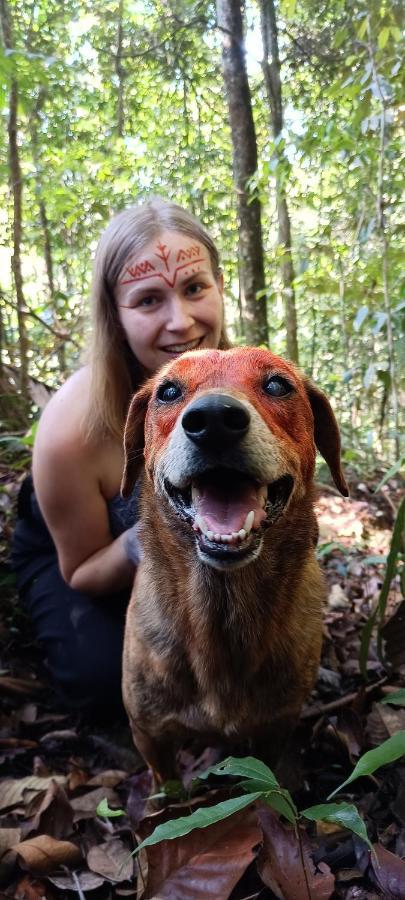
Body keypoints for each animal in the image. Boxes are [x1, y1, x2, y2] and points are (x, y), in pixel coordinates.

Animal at [120, 348, 348, 784]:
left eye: (277, 385)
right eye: (168, 391)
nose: (213, 421)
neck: (222, 607)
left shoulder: (276, 728)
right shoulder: (149, 735)